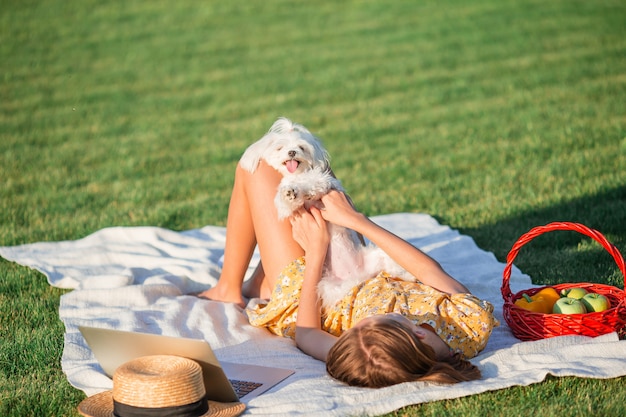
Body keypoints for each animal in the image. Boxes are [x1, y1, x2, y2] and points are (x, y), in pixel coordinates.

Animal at [238, 118, 410, 308]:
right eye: (280, 148)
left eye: (301, 147)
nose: (292, 152)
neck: (297, 175)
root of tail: (358, 274)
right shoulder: (286, 206)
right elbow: (285, 202)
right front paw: (290, 193)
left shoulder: (325, 181)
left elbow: (313, 182)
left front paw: (300, 189)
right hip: (328, 285)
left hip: (381, 255)